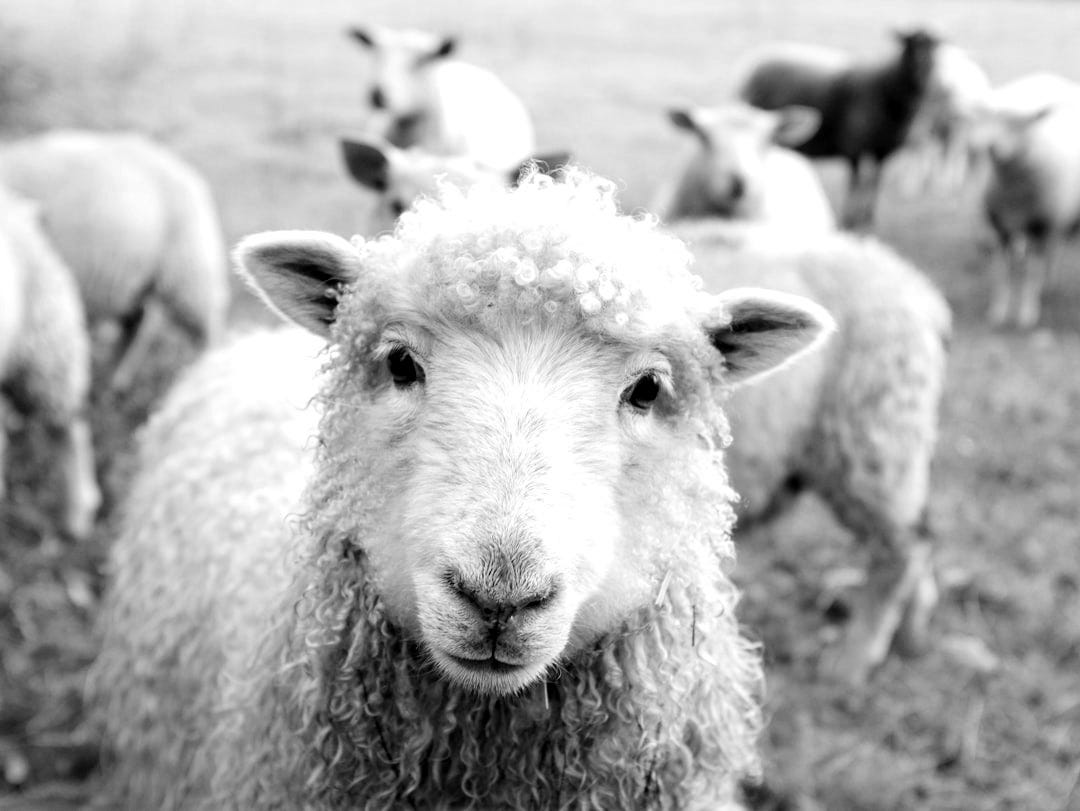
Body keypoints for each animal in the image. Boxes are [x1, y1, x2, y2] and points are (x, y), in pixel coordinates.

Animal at [0, 129, 229, 390]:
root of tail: (183, 169)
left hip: (188, 270)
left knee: (207, 328)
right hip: (135, 280)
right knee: (135, 323)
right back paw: (114, 380)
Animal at [670, 220, 951, 683]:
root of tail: (919, 289)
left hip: (869, 434)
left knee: (903, 548)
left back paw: (854, 660)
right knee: (920, 535)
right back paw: (911, 633)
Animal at [739, 29, 941, 228]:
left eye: (935, 48)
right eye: (911, 45)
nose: (924, 71)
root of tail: (752, 60)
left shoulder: (883, 151)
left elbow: (875, 183)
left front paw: (868, 219)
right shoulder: (854, 146)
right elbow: (855, 183)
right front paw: (850, 219)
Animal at [973, 74, 1080, 327]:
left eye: (1020, 124)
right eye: (990, 118)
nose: (991, 147)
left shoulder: (1041, 225)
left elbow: (1033, 273)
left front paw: (1027, 314)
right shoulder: (1000, 227)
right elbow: (1002, 272)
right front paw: (999, 312)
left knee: (1050, 255)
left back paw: (1047, 287)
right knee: (1050, 252)